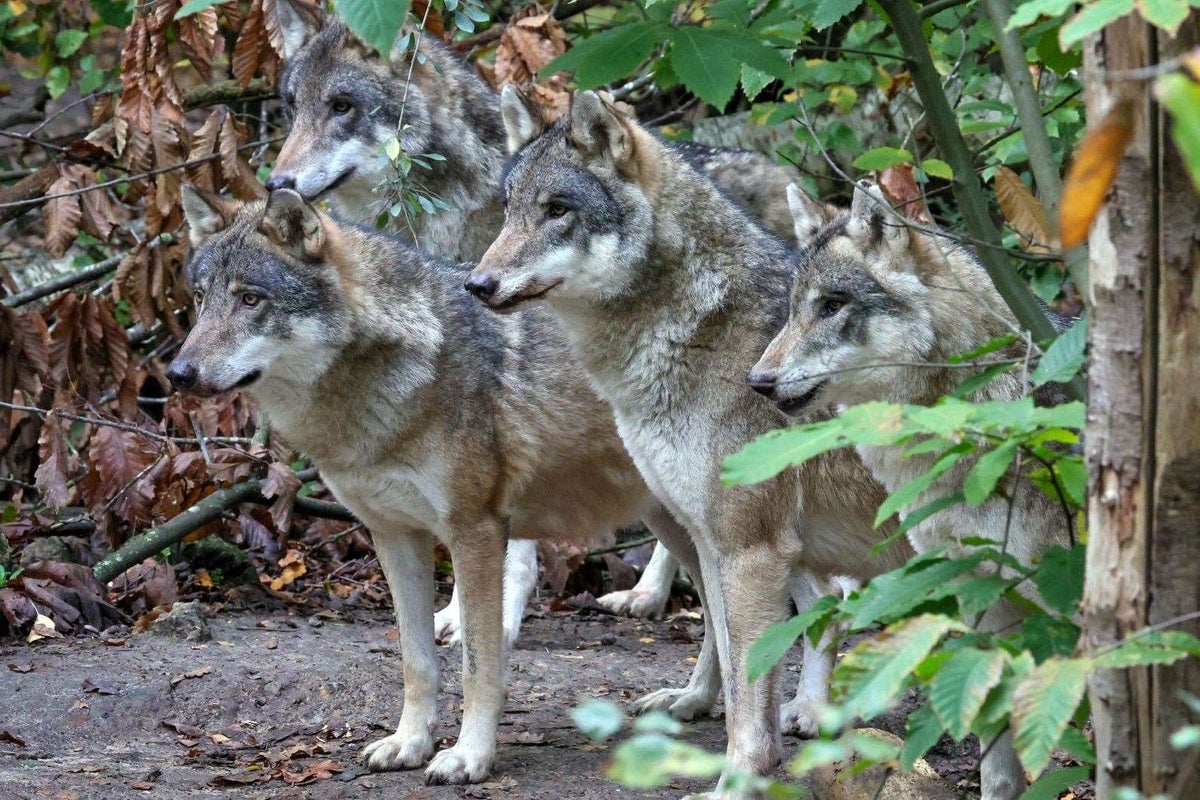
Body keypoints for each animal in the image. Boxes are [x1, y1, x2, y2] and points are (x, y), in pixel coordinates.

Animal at [166, 186, 726, 783]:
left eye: (251, 300)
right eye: (200, 299)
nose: (178, 373)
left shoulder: (475, 531)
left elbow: (478, 665)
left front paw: (468, 756)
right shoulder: (394, 536)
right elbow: (417, 661)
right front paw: (409, 743)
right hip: (676, 525)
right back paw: (692, 700)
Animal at [466, 88, 912, 790]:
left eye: (557, 211)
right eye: (509, 210)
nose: (477, 285)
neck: (697, 331)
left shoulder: (750, 546)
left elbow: (749, 688)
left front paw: (739, 780)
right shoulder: (724, 538)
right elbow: (737, 668)